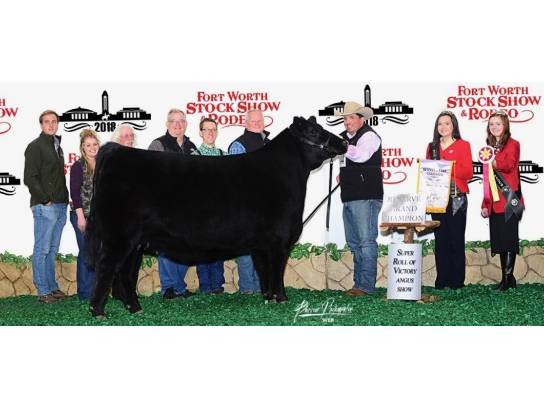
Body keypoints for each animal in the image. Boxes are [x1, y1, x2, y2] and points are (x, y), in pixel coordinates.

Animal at [86, 116, 348, 317]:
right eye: (314, 131)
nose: (344, 142)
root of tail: (116, 150)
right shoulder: (280, 240)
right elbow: (276, 271)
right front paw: (282, 298)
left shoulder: (261, 245)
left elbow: (264, 271)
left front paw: (268, 297)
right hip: (118, 237)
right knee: (107, 268)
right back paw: (98, 311)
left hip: (135, 243)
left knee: (125, 273)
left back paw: (135, 308)